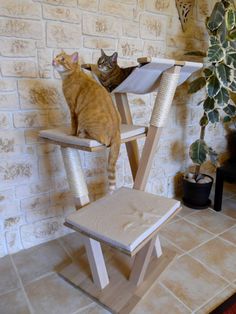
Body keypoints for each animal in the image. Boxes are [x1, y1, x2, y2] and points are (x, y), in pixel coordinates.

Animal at [52, 52, 121, 191]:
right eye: (56, 56)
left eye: (62, 59)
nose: (53, 60)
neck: (73, 74)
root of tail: (117, 131)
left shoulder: (73, 109)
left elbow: (73, 124)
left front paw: (71, 134)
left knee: (102, 140)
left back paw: (81, 134)